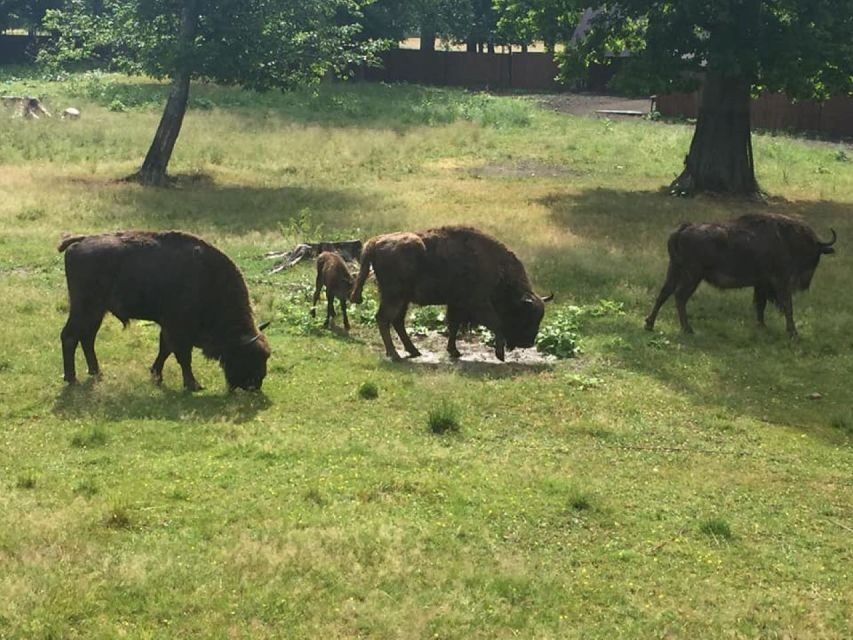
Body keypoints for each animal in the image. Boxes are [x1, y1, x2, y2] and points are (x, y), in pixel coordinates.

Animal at [59, 231, 271, 391]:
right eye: (248, 357)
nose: (255, 386)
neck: (209, 280)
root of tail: (81, 240)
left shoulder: (169, 328)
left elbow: (165, 350)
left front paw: (156, 376)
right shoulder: (179, 329)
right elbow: (183, 356)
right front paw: (193, 385)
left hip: (96, 312)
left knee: (87, 338)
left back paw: (96, 372)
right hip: (85, 309)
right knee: (70, 336)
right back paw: (72, 378)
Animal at [350, 225, 552, 361]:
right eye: (526, 316)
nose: (529, 343)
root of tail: (375, 242)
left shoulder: (456, 305)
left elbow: (453, 326)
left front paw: (454, 351)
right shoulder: (478, 305)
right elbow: (496, 324)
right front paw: (499, 355)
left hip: (402, 299)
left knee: (397, 321)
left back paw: (413, 351)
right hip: (395, 297)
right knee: (384, 319)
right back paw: (395, 355)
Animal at [645, 213, 836, 336]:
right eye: (815, 254)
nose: (805, 284)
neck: (788, 239)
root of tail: (684, 229)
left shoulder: (761, 284)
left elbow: (760, 305)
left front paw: (762, 327)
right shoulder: (780, 282)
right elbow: (787, 306)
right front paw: (793, 333)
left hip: (675, 270)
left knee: (664, 293)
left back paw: (649, 324)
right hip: (692, 276)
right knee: (679, 296)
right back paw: (687, 329)